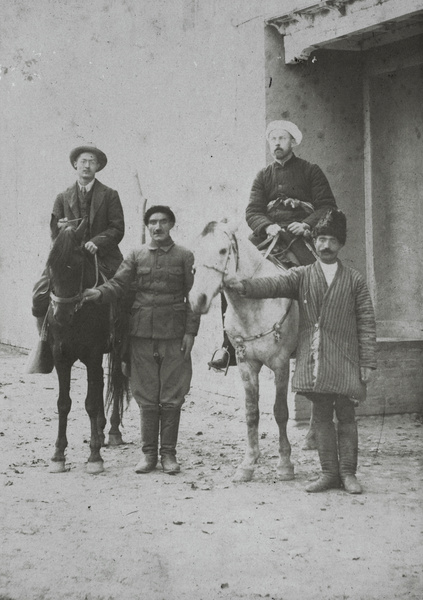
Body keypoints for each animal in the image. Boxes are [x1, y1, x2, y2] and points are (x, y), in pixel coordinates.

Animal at [45, 217, 130, 474]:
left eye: (75, 265)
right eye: (50, 265)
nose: (61, 315)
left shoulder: (93, 355)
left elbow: (91, 403)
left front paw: (94, 457)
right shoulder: (61, 357)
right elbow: (63, 403)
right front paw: (58, 455)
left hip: (118, 350)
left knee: (115, 382)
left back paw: (112, 432)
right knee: (101, 383)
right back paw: (100, 432)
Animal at [190, 220, 314, 482]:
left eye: (223, 251)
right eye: (195, 252)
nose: (198, 299)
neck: (257, 303)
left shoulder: (280, 364)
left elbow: (280, 411)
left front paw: (285, 464)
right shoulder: (246, 364)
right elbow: (251, 412)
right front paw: (248, 463)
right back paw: (312, 439)